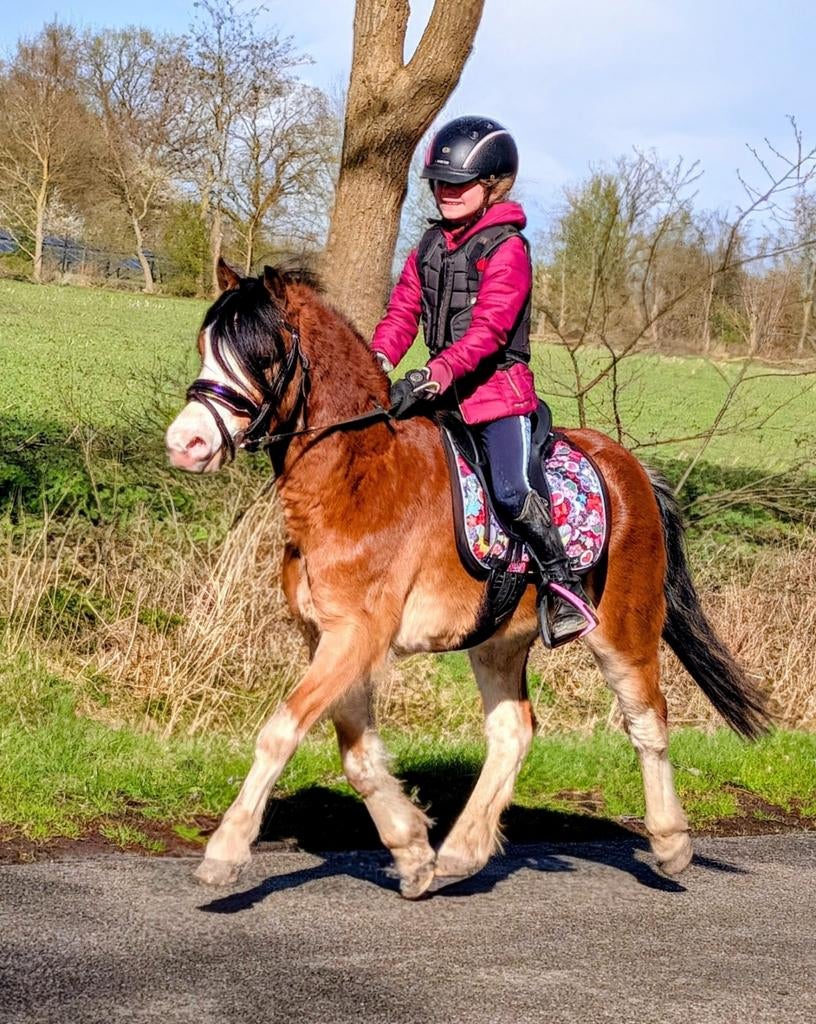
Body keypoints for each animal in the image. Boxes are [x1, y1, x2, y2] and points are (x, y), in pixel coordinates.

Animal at [165, 259, 769, 897]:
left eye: (263, 354)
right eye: (205, 347)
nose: (186, 444)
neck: (355, 477)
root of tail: (630, 467)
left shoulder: (356, 635)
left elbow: (280, 732)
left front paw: (226, 850)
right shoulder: (329, 638)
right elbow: (357, 753)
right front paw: (412, 849)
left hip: (624, 629)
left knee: (647, 719)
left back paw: (672, 844)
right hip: (497, 641)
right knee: (513, 731)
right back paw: (461, 852)